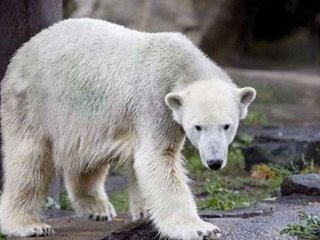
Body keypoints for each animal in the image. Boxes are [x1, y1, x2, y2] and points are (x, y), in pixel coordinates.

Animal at [0, 19, 255, 240]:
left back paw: (98, 208)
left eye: (227, 126)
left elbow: (141, 162)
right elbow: (159, 159)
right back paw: (28, 224)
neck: (180, 65)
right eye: (198, 127)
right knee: (29, 160)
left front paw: (144, 211)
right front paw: (200, 229)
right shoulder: (154, 103)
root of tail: (21, 52)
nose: (214, 162)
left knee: (86, 158)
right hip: (33, 103)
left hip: (87, 119)